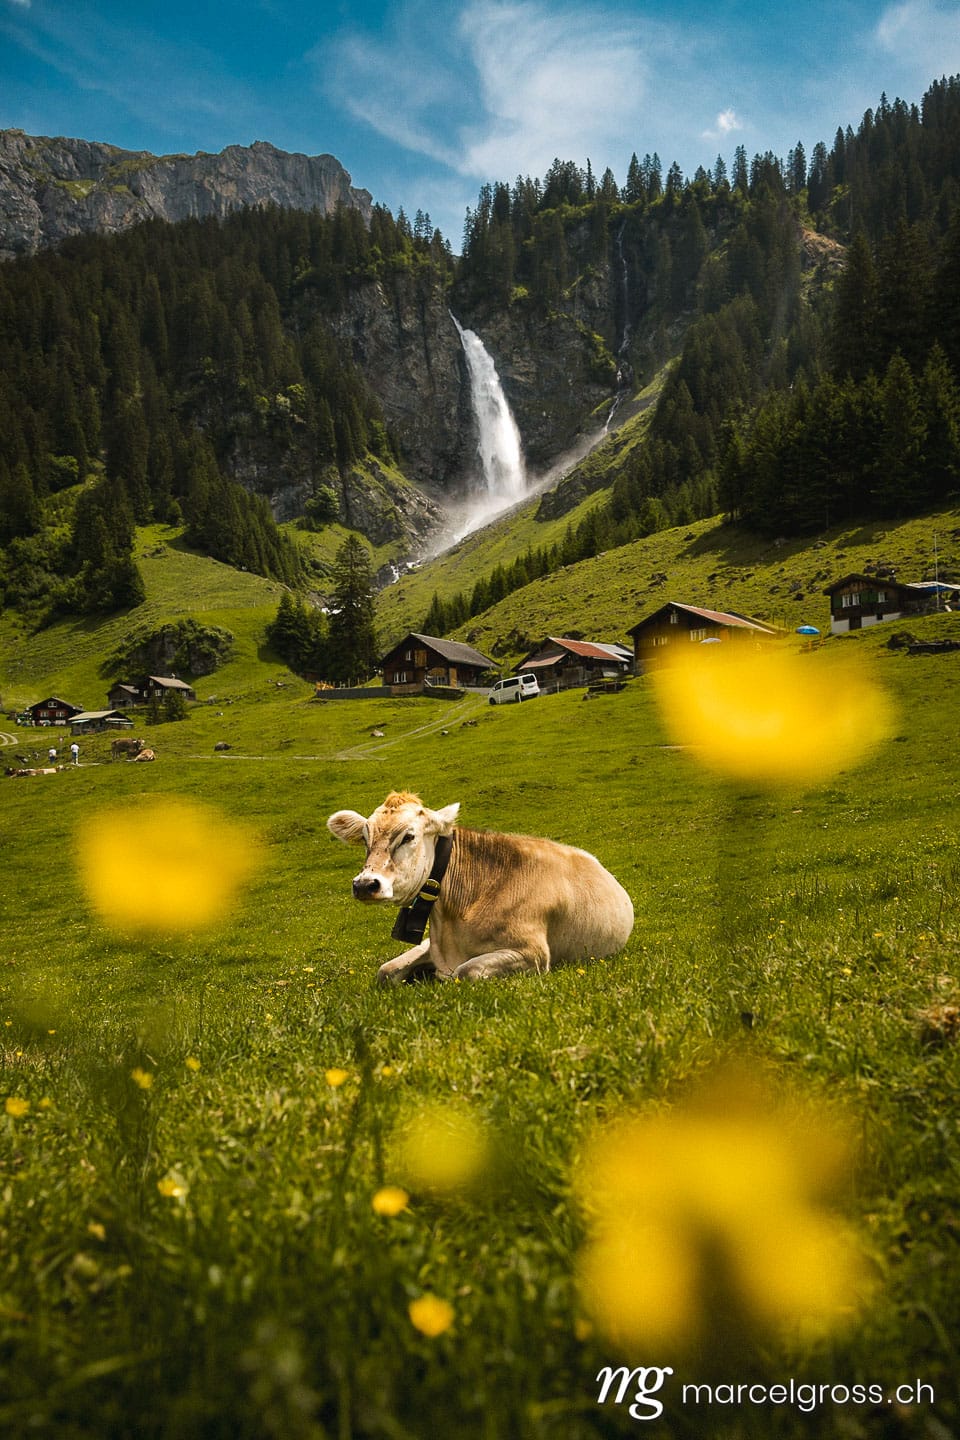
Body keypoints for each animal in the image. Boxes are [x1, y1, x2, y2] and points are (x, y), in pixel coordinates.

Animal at [327, 791, 634, 984]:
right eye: (365, 838)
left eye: (408, 836)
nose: (365, 884)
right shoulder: (431, 945)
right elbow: (386, 972)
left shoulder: (533, 953)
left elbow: (466, 971)